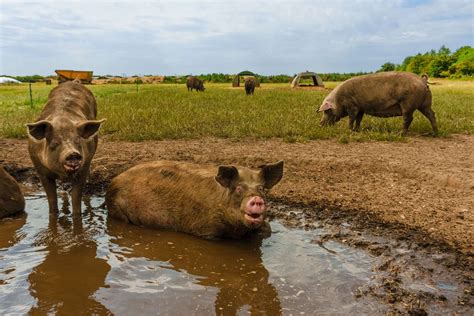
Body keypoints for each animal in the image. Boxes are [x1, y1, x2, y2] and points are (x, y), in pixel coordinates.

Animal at [25, 81, 105, 215]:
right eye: (54, 143)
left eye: (77, 141)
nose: (73, 154)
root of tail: (75, 81)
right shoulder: (40, 170)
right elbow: (51, 198)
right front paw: (54, 214)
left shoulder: (83, 168)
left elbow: (76, 198)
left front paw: (76, 215)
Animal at [105, 160, 284, 239]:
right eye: (239, 189)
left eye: (261, 189)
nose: (257, 199)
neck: (236, 230)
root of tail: (114, 180)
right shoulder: (205, 229)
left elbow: (267, 229)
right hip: (117, 208)